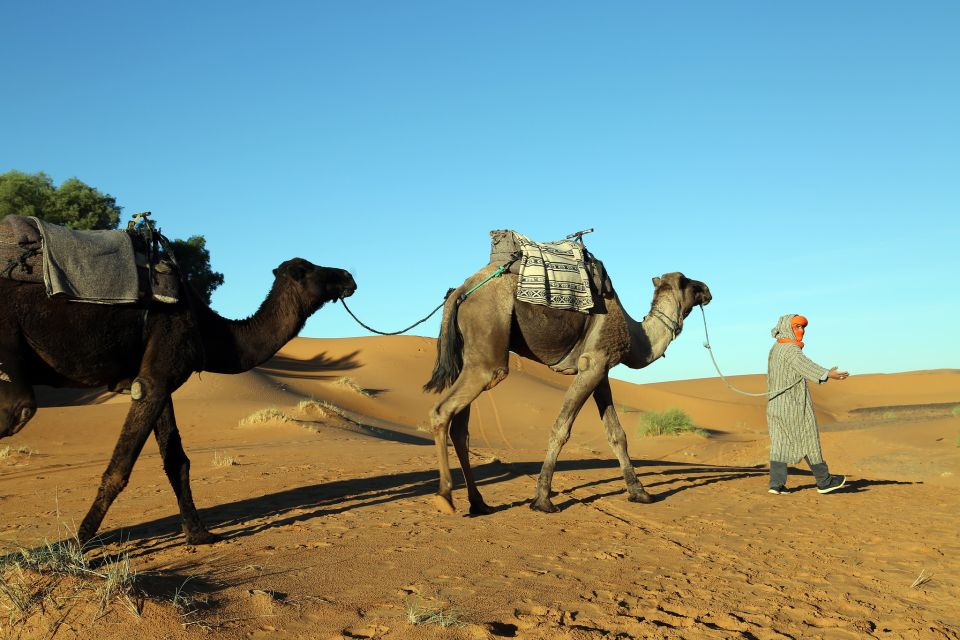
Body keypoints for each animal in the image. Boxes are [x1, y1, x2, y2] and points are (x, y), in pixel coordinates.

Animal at [0, 258, 356, 544]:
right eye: (311, 270)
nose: (349, 276)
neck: (211, 332)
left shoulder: (157, 380)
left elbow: (177, 461)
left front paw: (199, 534)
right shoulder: (159, 371)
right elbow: (120, 467)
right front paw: (79, 543)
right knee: (19, 409)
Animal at [424, 266, 708, 516]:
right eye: (688, 281)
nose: (707, 289)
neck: (636, 337)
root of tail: (462, 290)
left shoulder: (600, 370)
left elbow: (616, 434)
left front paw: (640, 493)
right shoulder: (592, 365)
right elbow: (561, 429)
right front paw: (542, 500)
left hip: (469, 356)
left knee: (460, 429)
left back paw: (478, 503)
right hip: (488, 348)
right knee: (443, 410)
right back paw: (445, 497)